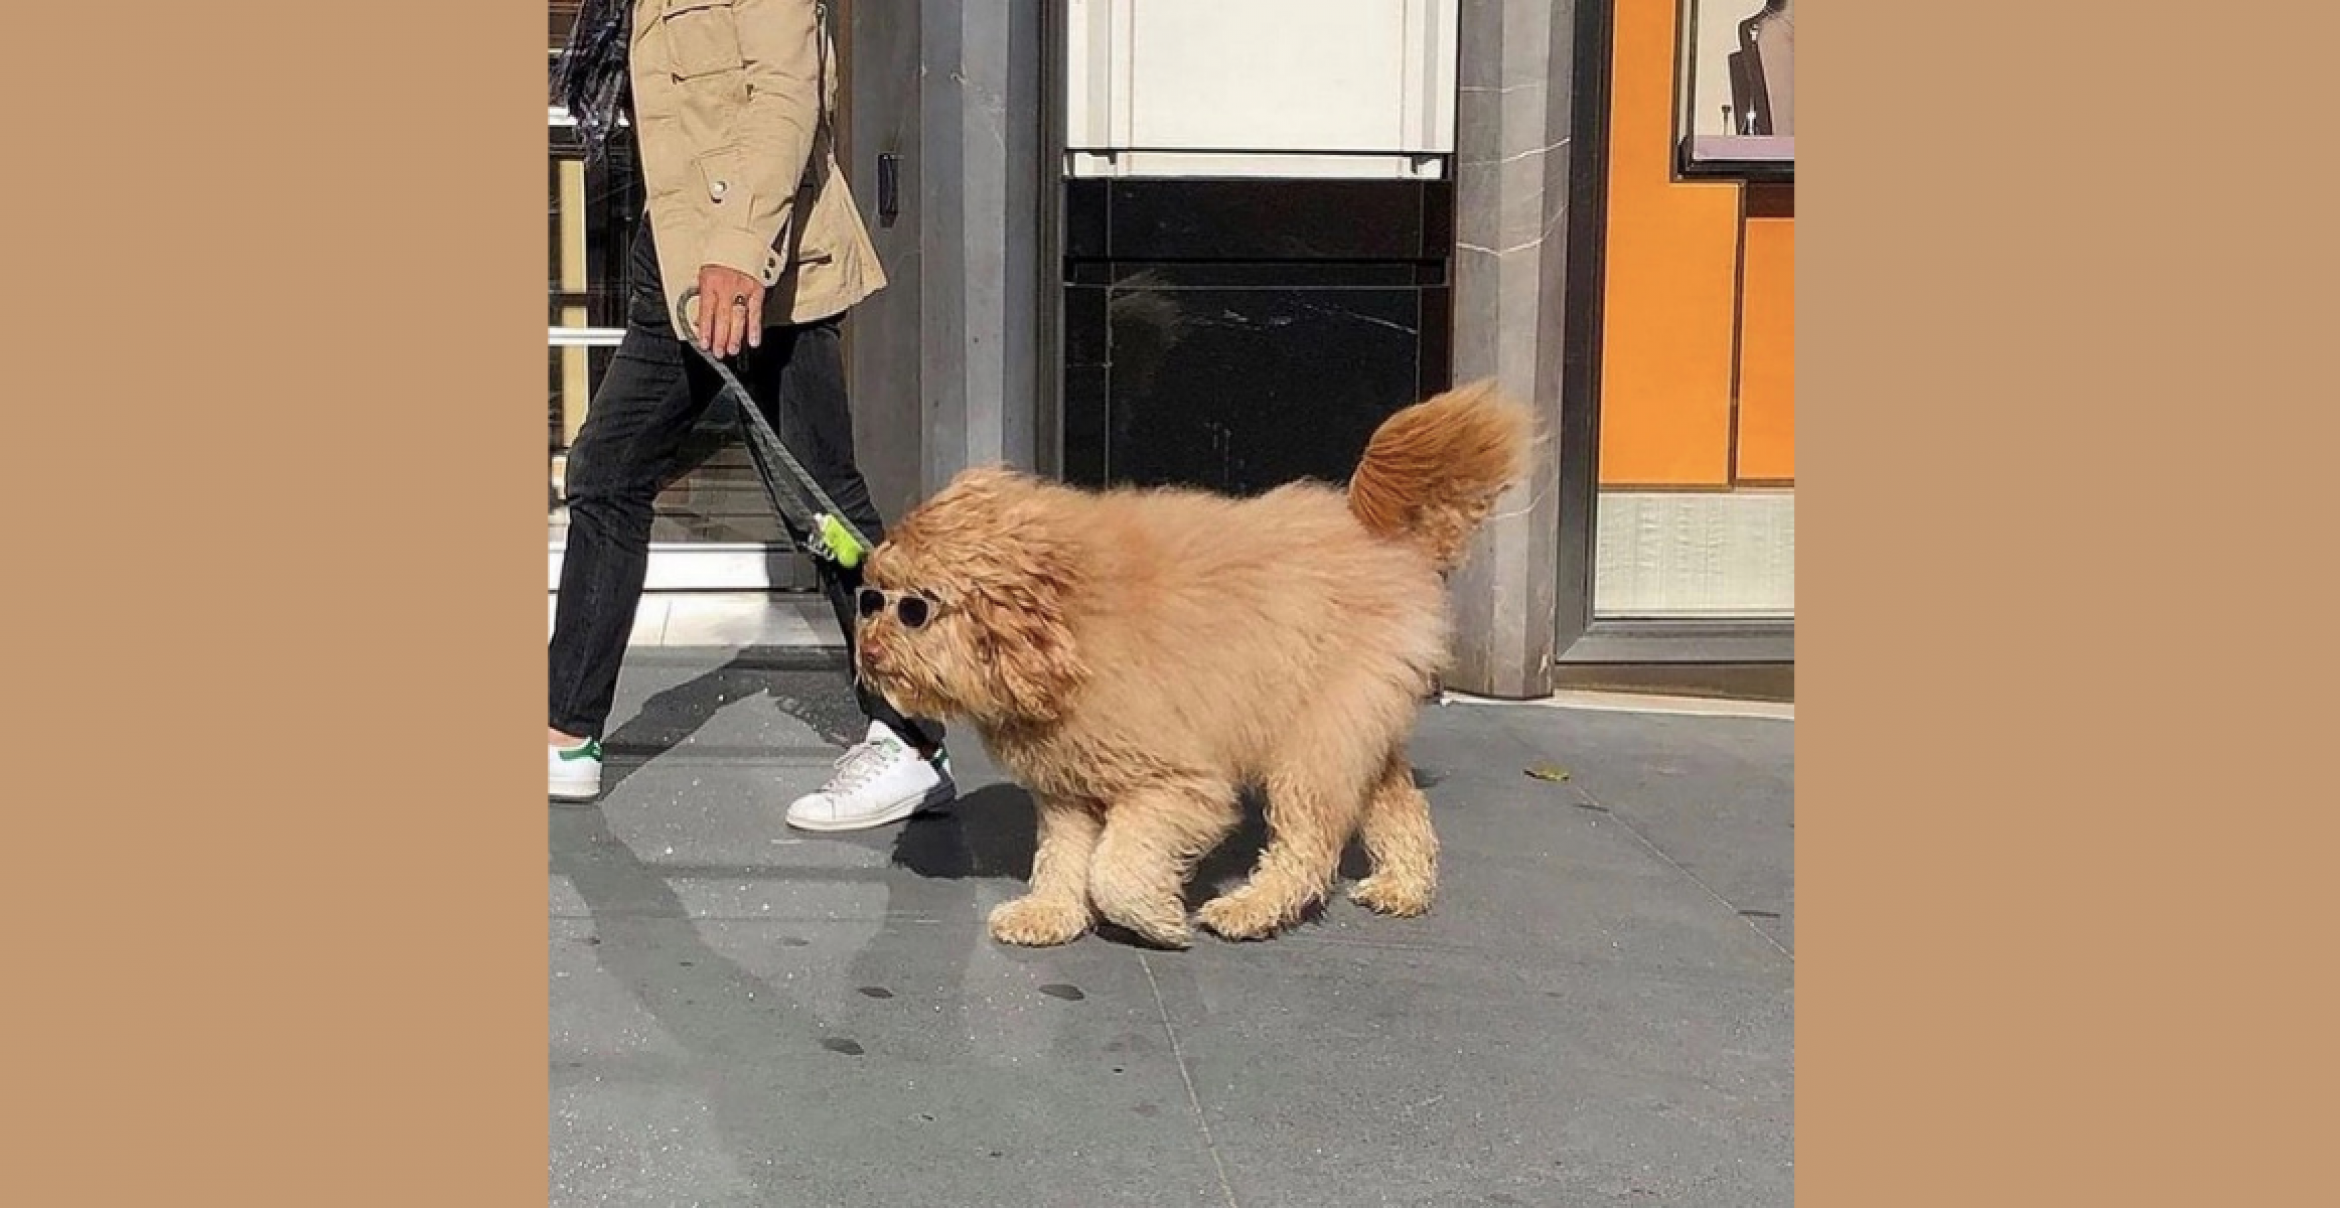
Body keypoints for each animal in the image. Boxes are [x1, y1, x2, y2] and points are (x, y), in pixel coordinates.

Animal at [851, 381, 1525, 950]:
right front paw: (1050, 913)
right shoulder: (1070, 788)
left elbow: (1116, 866)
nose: (870, 649)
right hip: (1349, 725)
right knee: (1395, 804)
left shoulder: (1178, 784)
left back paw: (1252, 908)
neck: (1068, 624)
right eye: (872, 596)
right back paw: (1402, 886)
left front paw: (1156, 919)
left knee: (1309, 839)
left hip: (1313, 738)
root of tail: (1380, 536)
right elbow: (1065, 858)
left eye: (916, 608)